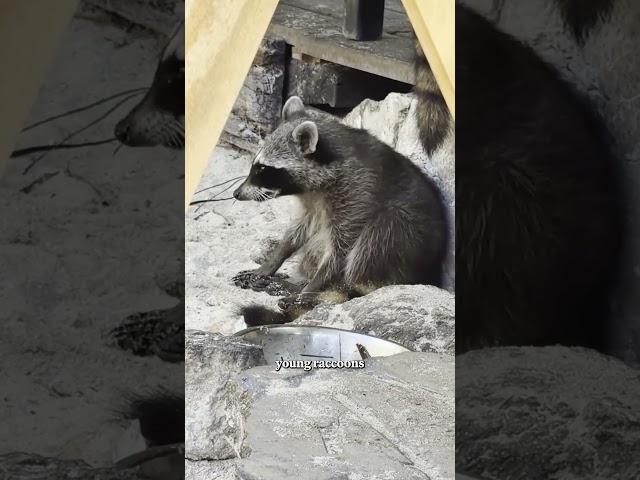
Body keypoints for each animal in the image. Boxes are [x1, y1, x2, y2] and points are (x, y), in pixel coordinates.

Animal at [232, 96, 449, 326]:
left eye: (263, 169)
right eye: (256, 164)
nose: (236, 193)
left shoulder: (357, 194)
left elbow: (340, 252)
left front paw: (308, 290)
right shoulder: (312, 203)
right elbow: (298, 231)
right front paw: (271, 263)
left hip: (403, 236)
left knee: (378, 235)